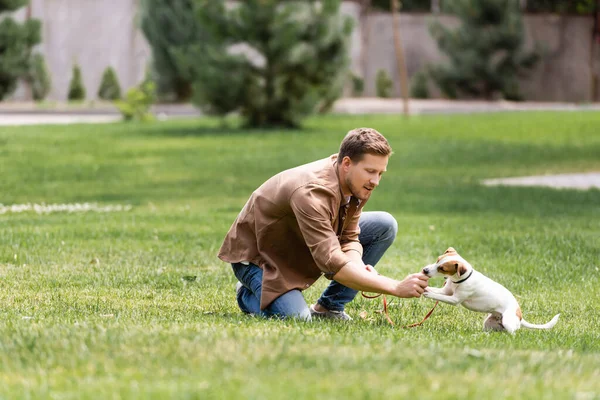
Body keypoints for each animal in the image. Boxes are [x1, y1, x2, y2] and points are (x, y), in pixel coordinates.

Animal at [422, 247, 556, 334]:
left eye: (442, 268)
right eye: (437, 259)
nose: (424, 270)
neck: (461, 279)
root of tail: (520, 317)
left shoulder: (454, 299)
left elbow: (440, 297)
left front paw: (428, 293)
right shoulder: (446, 291)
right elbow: (438, 292)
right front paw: (424, 288)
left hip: (507, 321)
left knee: (513, 332)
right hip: (489, 323)